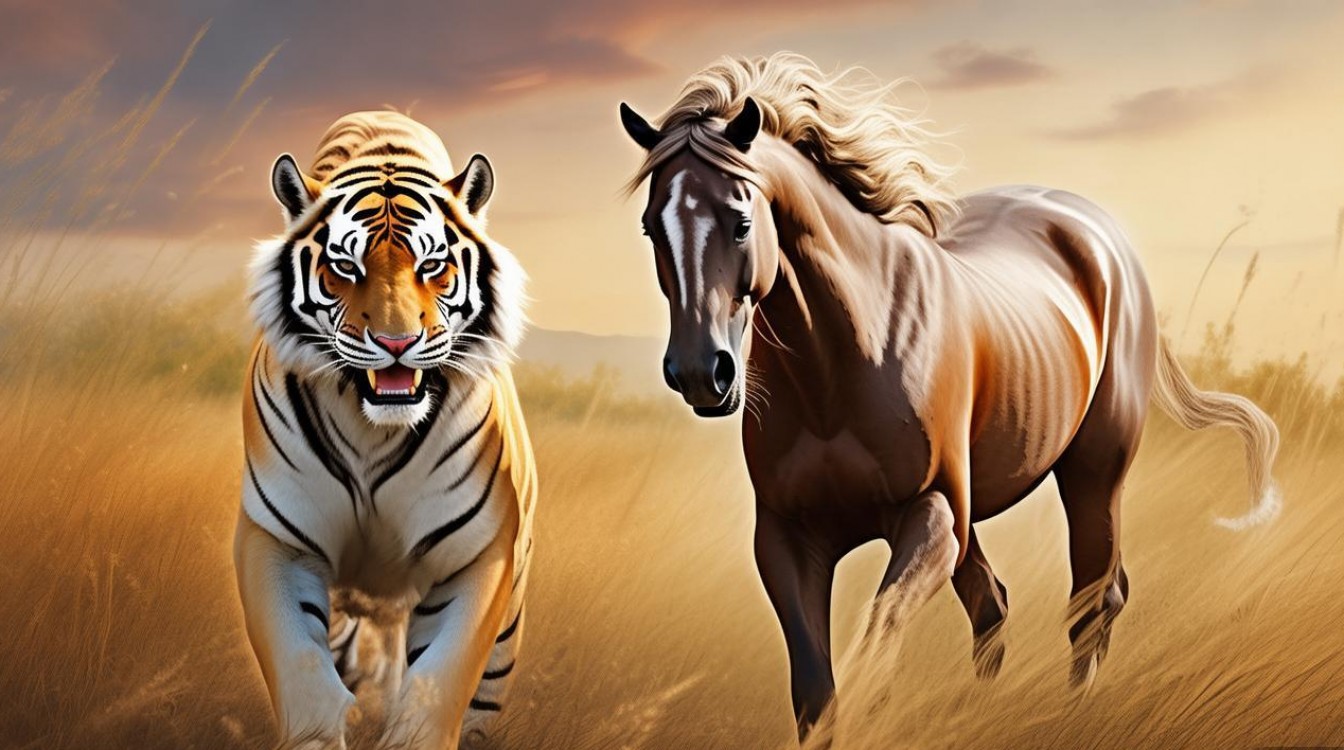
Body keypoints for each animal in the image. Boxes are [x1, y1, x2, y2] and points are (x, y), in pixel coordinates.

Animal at [235, 111, 535, 750]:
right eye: (345, 266)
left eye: (432, 265)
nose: (397, 343)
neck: (373, 428)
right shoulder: (277, 539)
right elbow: (303, 673)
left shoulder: (475, 556)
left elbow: (436, 687)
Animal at [618, 53, 1280, 740]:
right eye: (650, 227)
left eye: (742, 220)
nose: (702, 373)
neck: (840, 363)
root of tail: (1102, 236)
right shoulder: (785, 537)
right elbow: (818, 692)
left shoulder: (931, 514)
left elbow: (875, 653)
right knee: (997, 604)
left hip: (1092, 472)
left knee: (1093, 600)